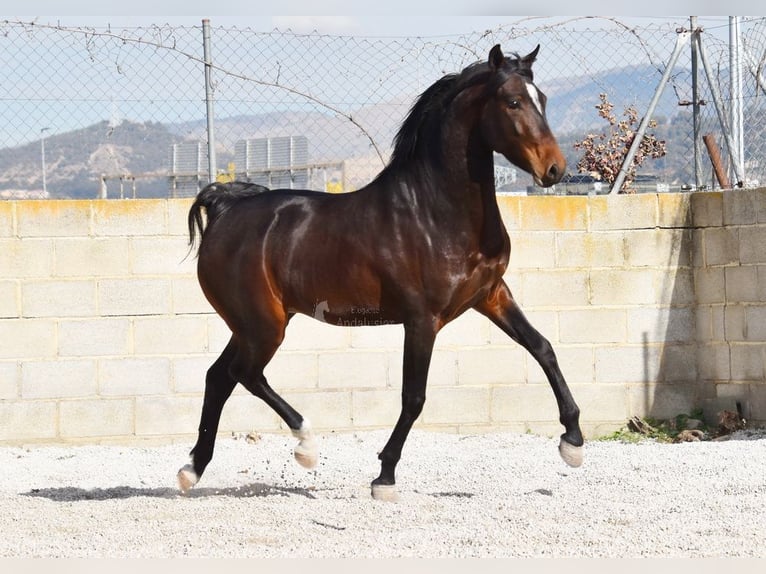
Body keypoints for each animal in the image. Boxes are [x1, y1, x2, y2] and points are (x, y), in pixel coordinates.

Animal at [180, 45, 584, 502]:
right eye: (513, 101)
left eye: (542, 99)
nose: (555, 169)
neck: (434, 212)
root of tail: (225, 208)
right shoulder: (423, 320)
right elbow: (414, 397)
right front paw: (384, 476)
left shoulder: (492, 295)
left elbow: (543, 348)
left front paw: (572, 442)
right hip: (265, 326)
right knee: (244, 374)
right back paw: (306, 446)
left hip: (251, 325)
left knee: (219, 377)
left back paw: (191, 470)